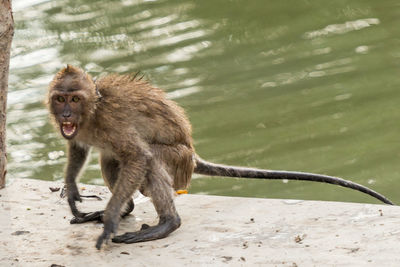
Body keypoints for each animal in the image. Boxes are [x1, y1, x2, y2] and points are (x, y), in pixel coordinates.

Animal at [47, 66, 394, 250]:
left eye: (74, 99)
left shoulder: (113, 123)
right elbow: (79, 149)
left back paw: (165, 222)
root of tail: (192, 154)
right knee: (111, 159)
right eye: (60, 98)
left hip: (179, 160)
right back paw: (124, 209)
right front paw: (73, 191)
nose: (65, 114)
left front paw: (109, 221)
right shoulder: (81, 132)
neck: (92, 114)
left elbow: (138, 156)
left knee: (150, 160)